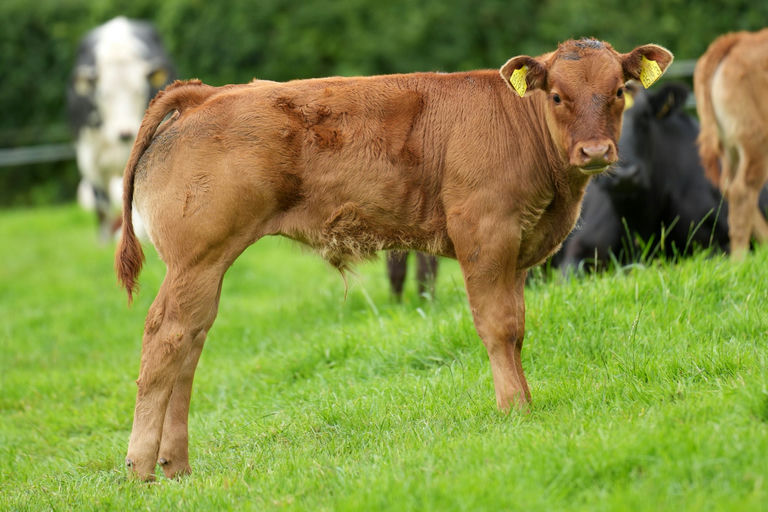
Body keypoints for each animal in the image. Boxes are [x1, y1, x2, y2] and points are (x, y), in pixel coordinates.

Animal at [67, 16, 175, 240]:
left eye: (139, 90)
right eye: (103, 94)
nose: (125, 133)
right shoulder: (88, 156)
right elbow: (102, 203)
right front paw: (104, 240)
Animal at [115, 39, 672, 480]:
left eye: (618, 91)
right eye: (557, 95)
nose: (595, 151)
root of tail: (206, 93)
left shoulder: (519, 253)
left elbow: (516, 328)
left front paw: (525, 401)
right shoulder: (485, 236)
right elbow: (496, 327)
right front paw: (514, 410)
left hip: (206, 265)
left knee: (190, 342)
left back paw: (176, 465)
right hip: (197, 258)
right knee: (165, 337)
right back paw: (141, 466)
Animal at [694, 28, 768, 258]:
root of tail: (737, 39)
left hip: (730, 148)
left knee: (729, 186)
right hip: (756, 143)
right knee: (742, 191)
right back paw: (740, 260)